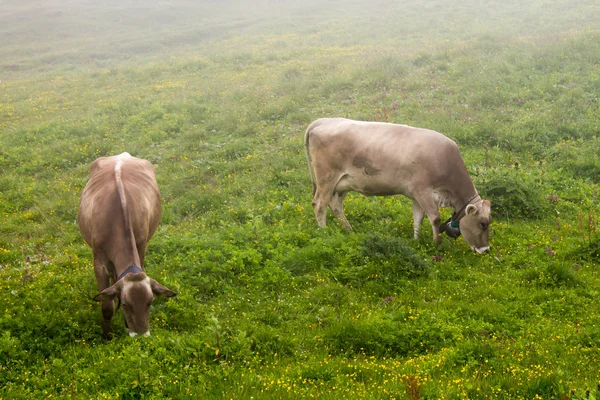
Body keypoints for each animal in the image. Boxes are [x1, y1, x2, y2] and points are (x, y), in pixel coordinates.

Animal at [78, 152, 176, 338]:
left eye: (150, 302)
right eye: (125, 304)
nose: (141, 336)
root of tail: (122, 155)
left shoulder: (142, 246)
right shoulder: (99, 261)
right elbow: (106, 305)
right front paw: (108, 337)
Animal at [304, 117, 492, 253]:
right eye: (483, 223)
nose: (486, 250)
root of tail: (323, 120)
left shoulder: (416, 195)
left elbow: (418, 218)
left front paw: (416, 240)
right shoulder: (423, 191)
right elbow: (435, 218)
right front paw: (437, 242)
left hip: (343, 183)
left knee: (335, 206)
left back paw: (349, 231)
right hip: (326, 177)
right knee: (319, 205)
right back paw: (325, 233)